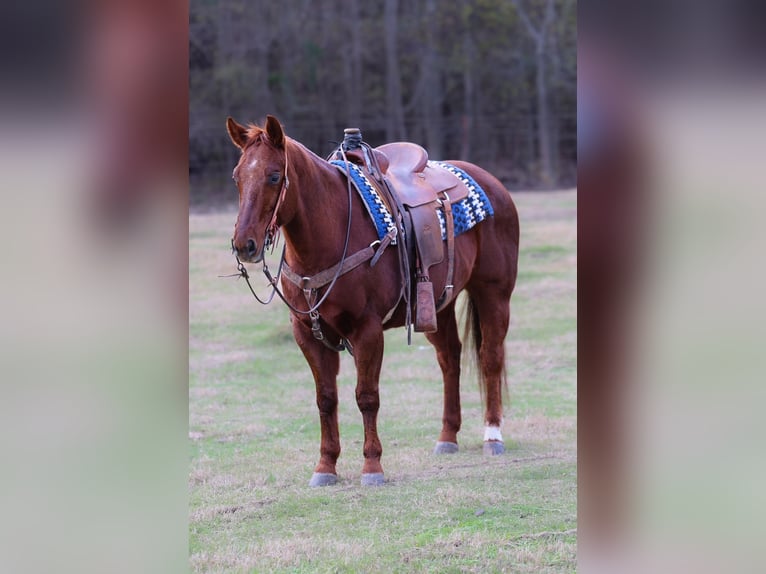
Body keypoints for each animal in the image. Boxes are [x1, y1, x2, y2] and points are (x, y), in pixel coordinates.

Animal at [227, 115, 519, 487]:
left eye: (274, 176)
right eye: (237, 177)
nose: (244, 245)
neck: (331, 234)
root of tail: (492, 182)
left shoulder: (366, 330)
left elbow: (366, 397)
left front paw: (372, 466)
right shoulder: (307, 332)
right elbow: (326, 399)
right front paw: (325, 467)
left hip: (493, 292)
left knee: (490, 357)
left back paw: (493, 435)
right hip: (437, 304)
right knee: (450, 359)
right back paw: (447, 437)